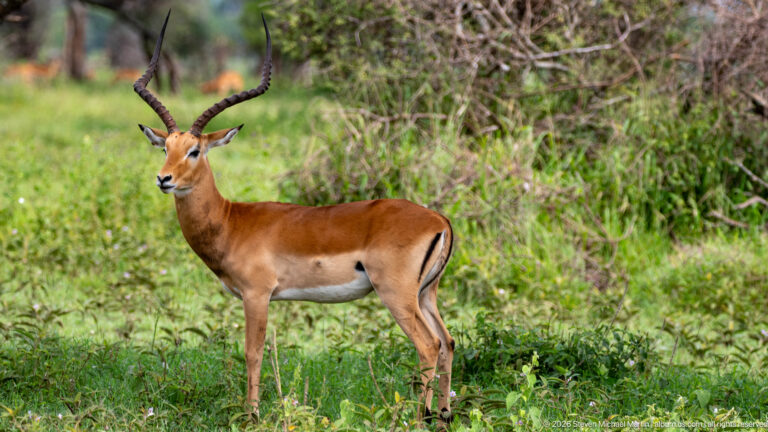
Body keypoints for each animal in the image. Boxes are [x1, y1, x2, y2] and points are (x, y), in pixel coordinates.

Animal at [134, 12, 455, 424]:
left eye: (195, 150)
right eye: (166, 148)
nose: (164, 179)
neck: (231, 221)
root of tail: (439, 220)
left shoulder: (257, 295)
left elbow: (253, 352)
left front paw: (252, 415)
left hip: (397, 294)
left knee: (428, 345)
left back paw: (417, 418)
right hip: (426, 293)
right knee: (447, 341)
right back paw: (443, 414)